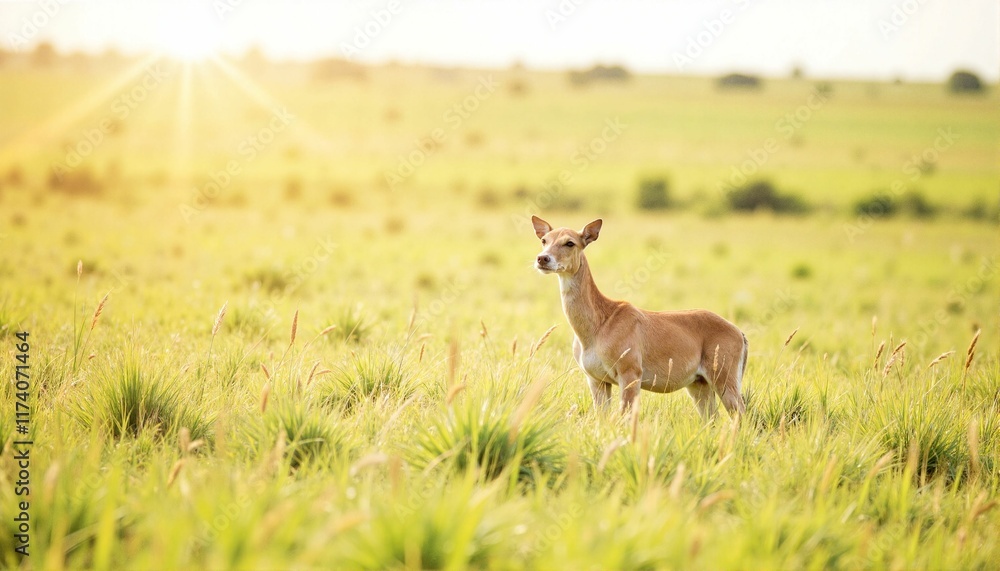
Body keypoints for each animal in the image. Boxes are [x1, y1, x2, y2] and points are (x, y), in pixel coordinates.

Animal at [531, 216, 747, 420]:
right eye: (544, 240)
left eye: (570, 242)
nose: (543, 259)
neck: (599, 326)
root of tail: (740, 334)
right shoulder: (596, 379)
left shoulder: (631, 372)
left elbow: (625, 417)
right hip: (699, 384)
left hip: (724, 377)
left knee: (741, 415)